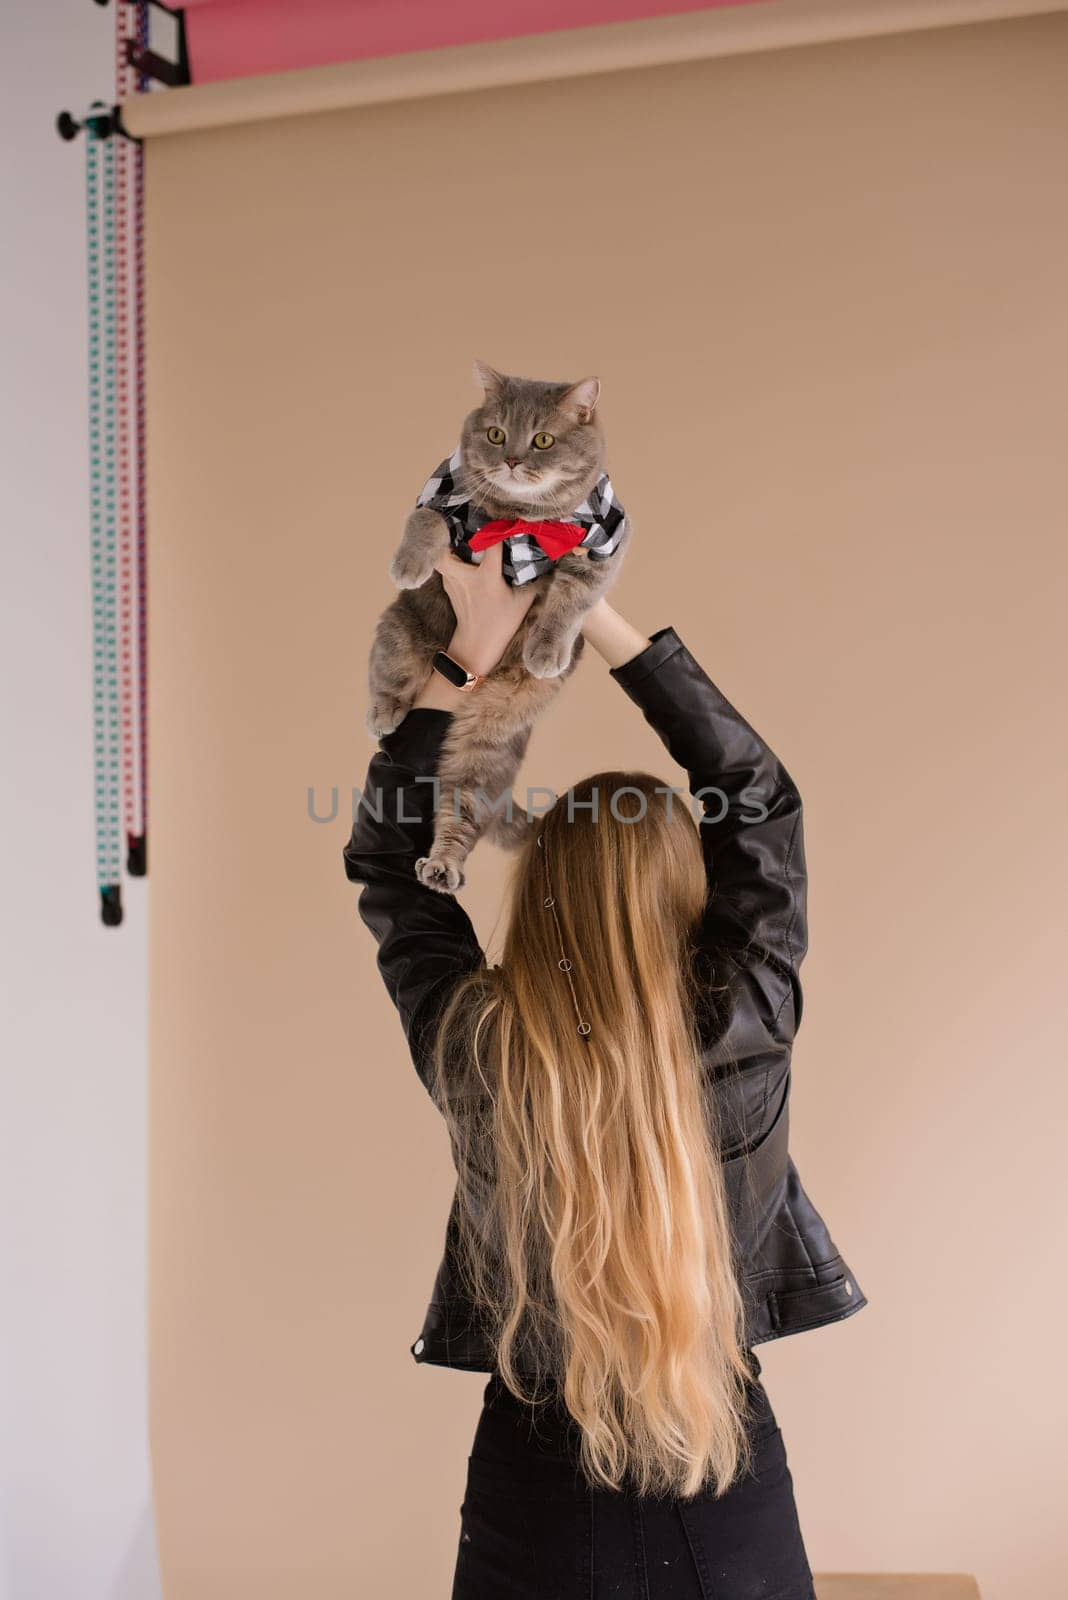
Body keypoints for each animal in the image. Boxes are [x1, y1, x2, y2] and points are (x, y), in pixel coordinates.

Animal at [369, 358, 633, 902]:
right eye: (496, 434)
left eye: (543, 441)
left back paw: (443, 866)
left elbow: (570, 602)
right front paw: (409, 563)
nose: (510, 459)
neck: (519, 521)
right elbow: (425, 521)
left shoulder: (600, 547)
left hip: (482, 750)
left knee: (462, 814)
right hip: (400, 631)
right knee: (391, 674)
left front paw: (545, 651)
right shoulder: (443, 498)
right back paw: (386, 712)